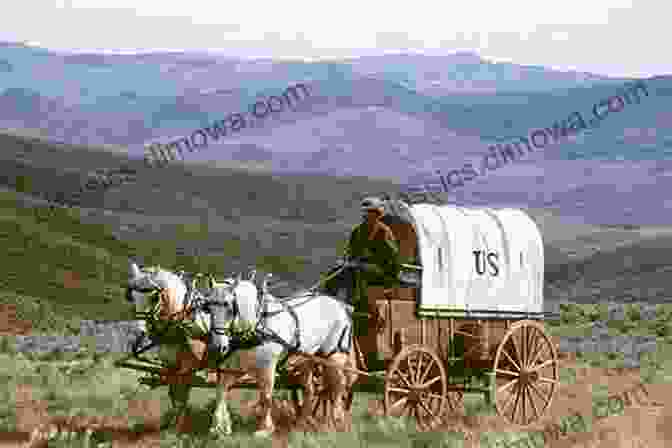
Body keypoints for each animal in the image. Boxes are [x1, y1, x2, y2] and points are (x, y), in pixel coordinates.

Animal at [126, 260, 356, 436]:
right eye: (131, 296)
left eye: (154, 296)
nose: (139, 332)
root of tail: (340, 304)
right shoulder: (226, 367)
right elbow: (214, 393)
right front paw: (218, 427)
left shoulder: (265, 369)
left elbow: (266, 397)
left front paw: (264, 429)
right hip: (305, 361)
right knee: (310, 390)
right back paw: (302, 422)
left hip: (333, 357)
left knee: (335, 389)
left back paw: (334, 422)